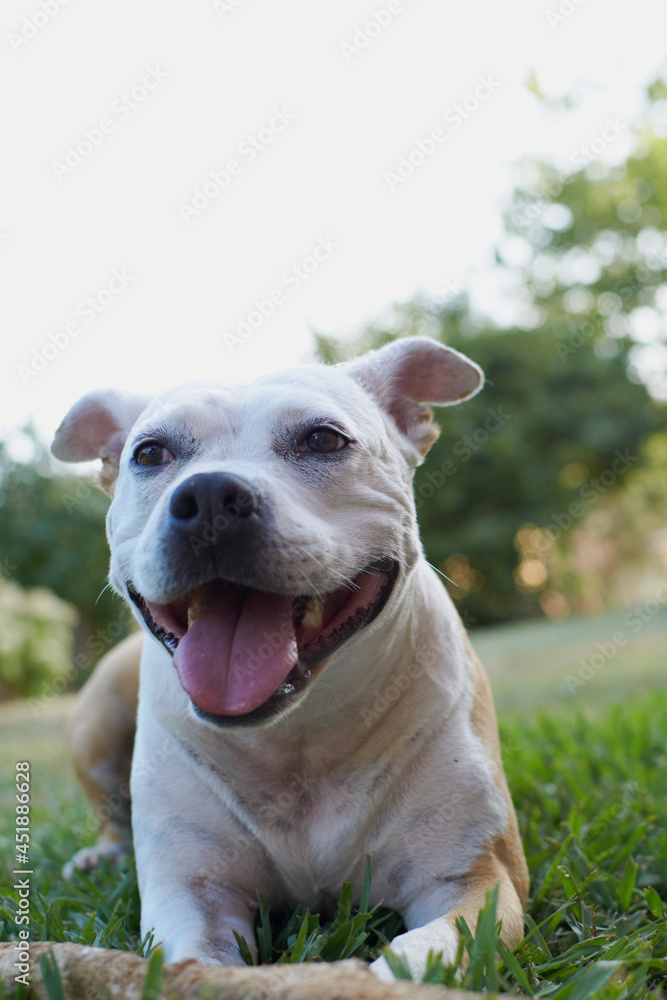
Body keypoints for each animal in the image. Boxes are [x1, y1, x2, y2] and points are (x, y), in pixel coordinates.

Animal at [52, 340, 528, 980]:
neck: (297, 737)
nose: (208, 496)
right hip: (97, 718)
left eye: (323, 439)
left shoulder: (474, 878)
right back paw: (100, 856)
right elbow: (199, 965)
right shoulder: (190, 891)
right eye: (150, 453)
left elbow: (423, 951)